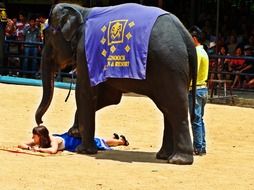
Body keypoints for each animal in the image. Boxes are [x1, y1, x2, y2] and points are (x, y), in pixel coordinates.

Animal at [35, 2, 198, 164]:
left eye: (46, 34)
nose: (40, 122)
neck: (82, 10)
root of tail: (185, 35)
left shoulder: (84, 52)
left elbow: (84, 93)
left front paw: (82, 150)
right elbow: (110, 98)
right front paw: (74, 133)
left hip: (170, 66)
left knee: (175, 106)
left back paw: (179, 160)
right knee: (167, 108)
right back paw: (164, 156)